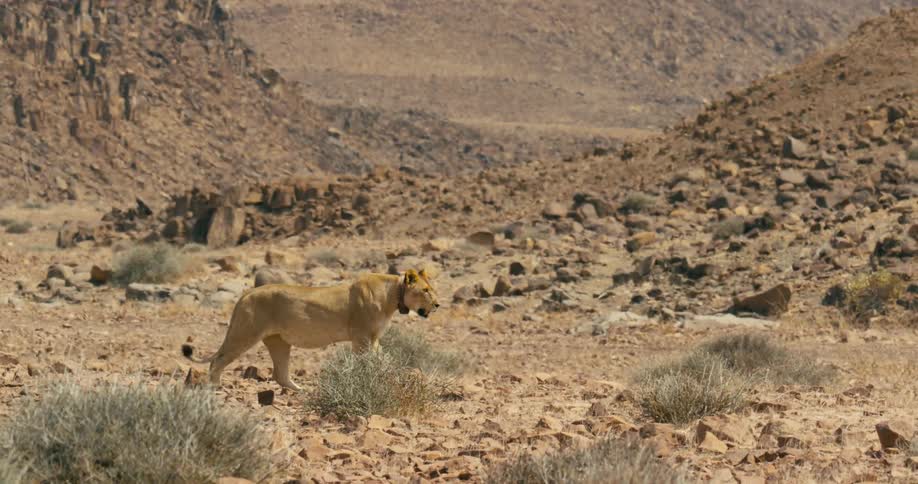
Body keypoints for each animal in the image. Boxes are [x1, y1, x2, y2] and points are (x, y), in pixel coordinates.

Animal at [181, 269, 439, 390]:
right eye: (426, 290)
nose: (437, 304)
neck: (393, 294)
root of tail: (246, 294)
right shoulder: (362, 337)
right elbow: (367, 362)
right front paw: (369, 379)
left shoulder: (374, 338)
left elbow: (382, 359)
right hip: (245, 333)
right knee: (218, 361)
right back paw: (214, 386)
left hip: (278, 341)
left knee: (281, 375)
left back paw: (302, 390)